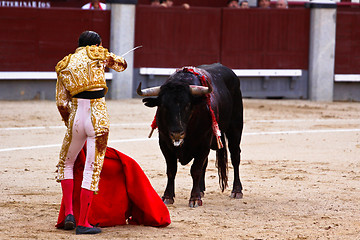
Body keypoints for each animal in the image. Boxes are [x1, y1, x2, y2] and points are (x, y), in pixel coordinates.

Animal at [136, 62, 243, 207]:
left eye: (187, 105)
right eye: (163, 106)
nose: (177, 133)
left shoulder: (204, 142)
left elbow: (195, 170)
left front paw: (195, 198)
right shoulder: (164, 143)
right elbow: (171, 170)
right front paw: (168, 197)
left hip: (235, 128)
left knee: (235, 156)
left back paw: (236, 191)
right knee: (205, 163)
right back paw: (202, 189)